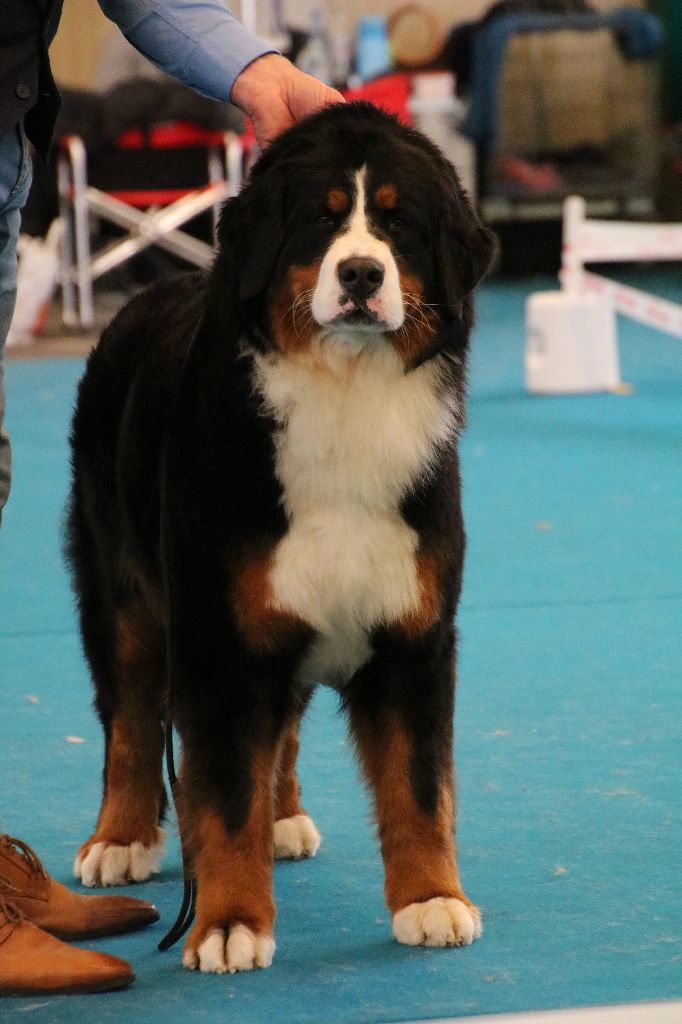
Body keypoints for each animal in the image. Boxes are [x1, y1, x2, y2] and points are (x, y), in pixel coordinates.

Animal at [66, 99, 493, 970]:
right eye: (319, 222)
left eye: (398, 224)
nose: (360, 275)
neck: (346, 393)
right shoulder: (220, 638)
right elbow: (226, 790)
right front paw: (230, 921)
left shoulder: (415, 633)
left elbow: (420, 783)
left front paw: (432, 899)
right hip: (123, 591)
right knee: (130, 720)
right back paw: (120, 839)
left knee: (282, 728)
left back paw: (285, 818)